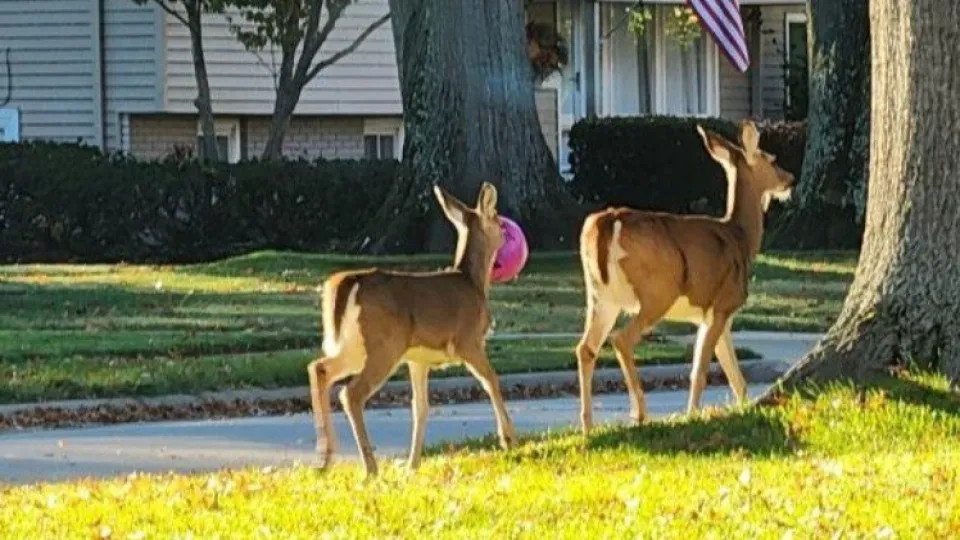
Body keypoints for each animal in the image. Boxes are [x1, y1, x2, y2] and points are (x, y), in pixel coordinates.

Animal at [310, 182, 516, 476]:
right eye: (497, 219)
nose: (506, 232)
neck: (473, 282)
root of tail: (347, 283)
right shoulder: (468, 341)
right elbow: (491, 380)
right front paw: (508, 439)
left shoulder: (418, 359)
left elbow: (420, 407)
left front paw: (412, 464)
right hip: (384, 345)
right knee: (351, 392)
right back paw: (370, 466)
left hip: (356, 345)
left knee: (319, 368)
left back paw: (325, 457)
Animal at [572, 121, 792, 434]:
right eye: (772, 159)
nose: (791, 179)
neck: (741, 236)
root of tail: (607, 221)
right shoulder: (723, 304)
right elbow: (700, 370)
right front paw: (692, 414)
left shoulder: (714, 315)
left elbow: (736, 376)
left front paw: (743, 408)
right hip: (657, 292)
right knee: (621, 340)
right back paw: (640, 414)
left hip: (600, 296)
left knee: (586, 348)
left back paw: (588, 424)